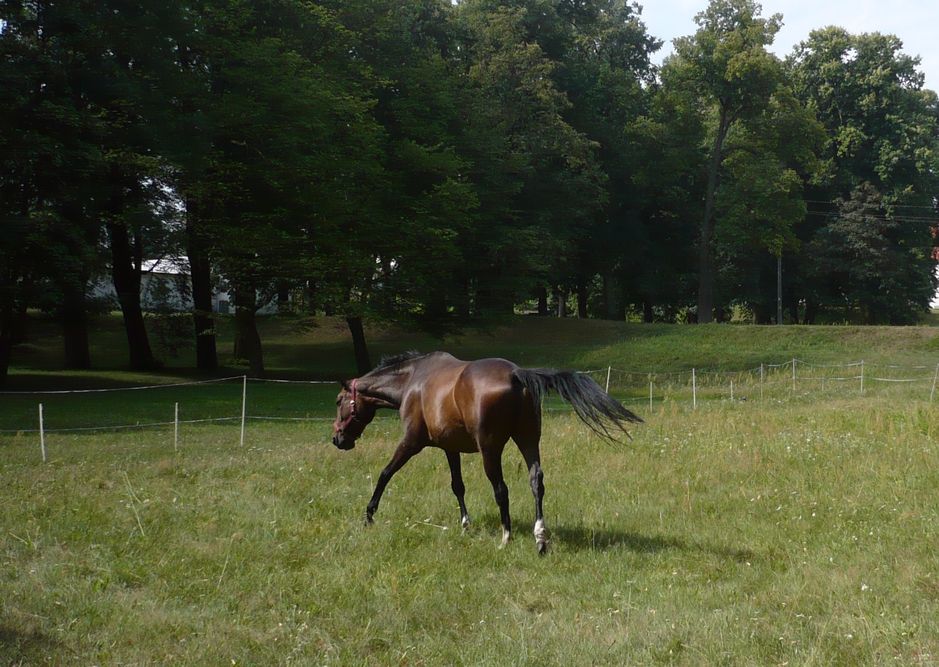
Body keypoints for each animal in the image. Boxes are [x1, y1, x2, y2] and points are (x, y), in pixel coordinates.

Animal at [326, 352, 644, 556]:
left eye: (340, 401)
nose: (338, 439)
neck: (413, 381)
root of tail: (517, 374)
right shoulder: (450, 448)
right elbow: (457, 486)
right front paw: (465, 524)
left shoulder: (411, 443)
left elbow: (385, 474)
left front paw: (369, 515)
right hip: (528, 441)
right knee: (536, 482)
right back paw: (540, 538)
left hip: (490, 450)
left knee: (501, 489)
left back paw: (506, 537)